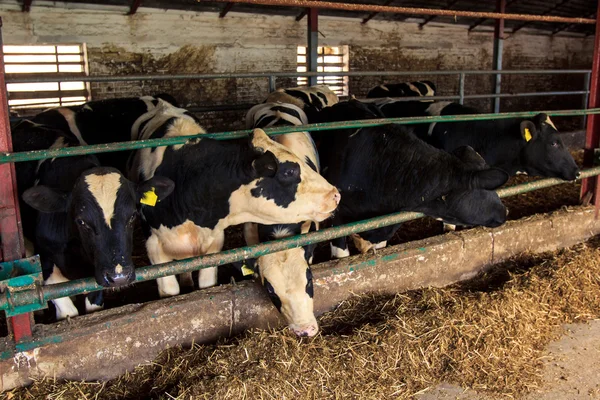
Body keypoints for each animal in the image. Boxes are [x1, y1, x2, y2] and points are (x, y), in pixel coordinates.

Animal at [11, 120, 173, 320]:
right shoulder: (47, 262)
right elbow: (67, 310)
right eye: (82, 222)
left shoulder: (97, 269)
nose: (119, 277)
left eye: (132, 216)